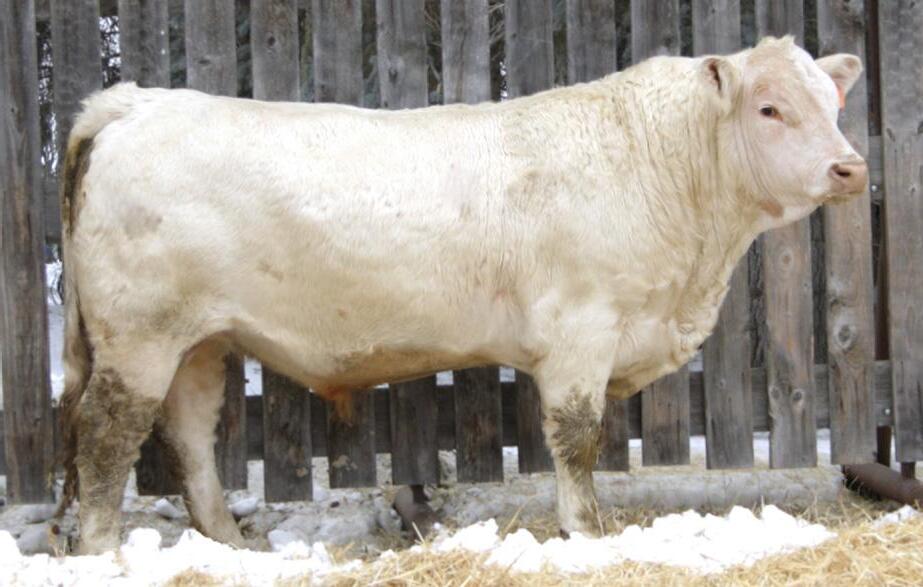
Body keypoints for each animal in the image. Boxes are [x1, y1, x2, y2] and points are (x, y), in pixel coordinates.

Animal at [56, 36, 867, 554]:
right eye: (769, 108)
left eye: (832, 104)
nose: (849, 168)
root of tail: (134, 103)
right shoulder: (581, 327)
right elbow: (577, 436)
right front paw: (585, 531)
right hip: (140, 333)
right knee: (104, 434)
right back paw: (101, 549)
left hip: (200, 340)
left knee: (188, 436)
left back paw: (228, 543)